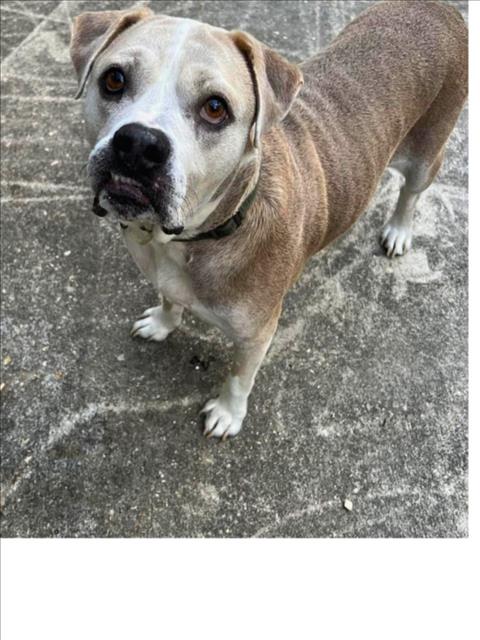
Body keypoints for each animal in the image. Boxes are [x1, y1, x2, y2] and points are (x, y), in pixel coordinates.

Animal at [69, 0, 466, 438]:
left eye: (215, 108)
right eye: (114, 79)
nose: (139, 144)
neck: (197, 237)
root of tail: (437, 7)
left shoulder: (256, 333)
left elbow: (239, 378)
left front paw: (227, 414)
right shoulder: (165, 277)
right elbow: (170, 300)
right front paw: (161, 322)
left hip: (428, 151)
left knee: (412, 192)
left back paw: (398, 230)